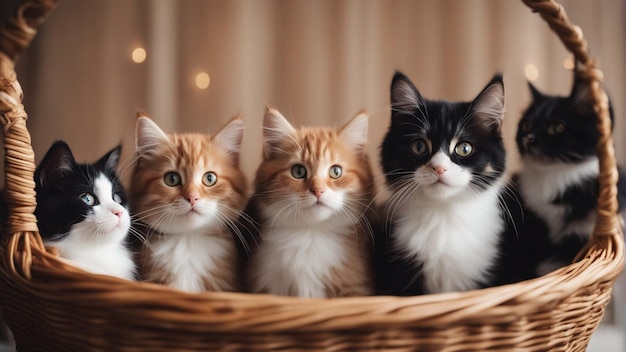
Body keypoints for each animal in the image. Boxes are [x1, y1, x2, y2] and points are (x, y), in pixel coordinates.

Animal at [516, 77, 620, 276]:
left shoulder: (582, 232)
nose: (529, 138)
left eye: (557, 127)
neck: (554, 176)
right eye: (526, 125)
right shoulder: (530, 226)